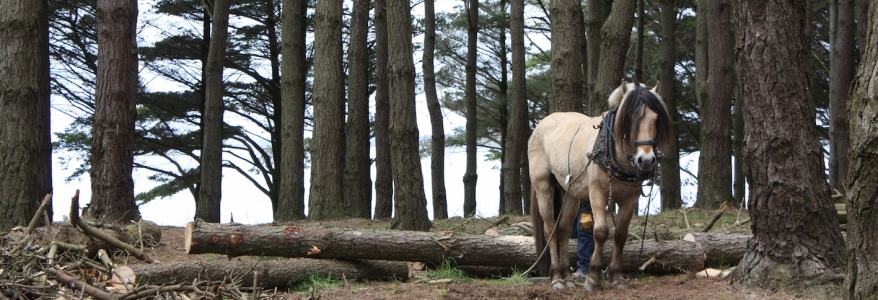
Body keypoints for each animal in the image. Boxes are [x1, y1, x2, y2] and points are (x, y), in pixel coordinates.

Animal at [524, 82, 676, 290]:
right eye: (629, 117)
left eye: (657, 118)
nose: (645, 160)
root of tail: (540, 125)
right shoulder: (597, 192)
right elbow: (601, 232)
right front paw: (593, 278)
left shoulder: (629, 199)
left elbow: (620, 235)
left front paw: (617, 277)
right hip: (543, 186)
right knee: (550, 230)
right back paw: (557, 278)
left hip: (570, 193)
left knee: (564, 230)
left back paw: (567, 277)